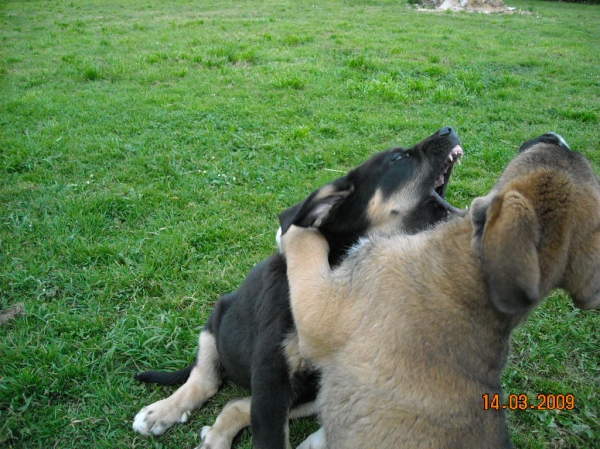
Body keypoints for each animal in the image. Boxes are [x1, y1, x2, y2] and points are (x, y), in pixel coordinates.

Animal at [135, 127, 464, 448]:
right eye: (397, 158)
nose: (448, 129)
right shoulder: (272, 373)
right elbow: (270, 438)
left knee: (236, 404)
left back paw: (214, 438)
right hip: (216, 322)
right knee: (205, 379)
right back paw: (160, 413)